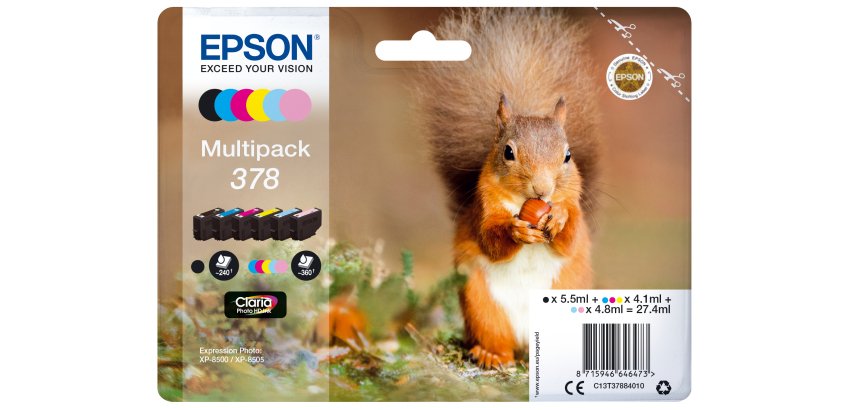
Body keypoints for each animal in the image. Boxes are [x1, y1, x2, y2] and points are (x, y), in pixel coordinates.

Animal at [414, 8, 600, 369]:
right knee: (498, 341)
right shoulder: (483, 208)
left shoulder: (576, 206)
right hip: (483, 307)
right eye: (508, 152)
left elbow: (570, 239)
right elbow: (490, 239)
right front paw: (516, 231)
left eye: (568, 155)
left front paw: (558, 218)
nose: (543, 189)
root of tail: (529, 342)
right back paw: (490, 355)